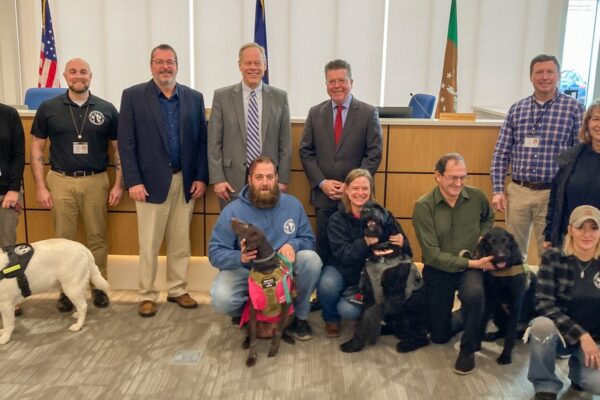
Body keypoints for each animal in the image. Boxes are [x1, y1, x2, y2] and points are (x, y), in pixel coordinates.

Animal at [230, 217, 296, 368]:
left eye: (246, 225)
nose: (233, 218)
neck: (266, 268)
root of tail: (266, 334)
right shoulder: (253, 308)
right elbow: (253, 340)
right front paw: (252, 357)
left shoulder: (286, 304)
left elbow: (279, 331)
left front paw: (273, 349)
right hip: (247, 320)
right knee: (250, 334)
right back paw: (245, 342)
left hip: (291, 315)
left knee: (281, 329)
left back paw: (287, 337)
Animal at [340, 203, 428, 354]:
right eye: (365, 207)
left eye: (379, 209)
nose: (365, 211)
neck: (382, 251)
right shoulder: (370, 292)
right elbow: (363, 318)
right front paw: (355, 344)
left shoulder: (392, 293)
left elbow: (368, 315)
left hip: (413, 307)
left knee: (421, 336)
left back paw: (407, 344)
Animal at [472, 227, 532, 364]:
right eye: (491, 242)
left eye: (506, 241)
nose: (501, 256)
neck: (502, 275)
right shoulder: (488, 303)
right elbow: (482, 324)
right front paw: (476, 345)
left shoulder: (515, 308)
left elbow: (509, 337)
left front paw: (505, 356)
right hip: (497, 313)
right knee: (504, 330)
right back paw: (493, 335)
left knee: (514, 334)